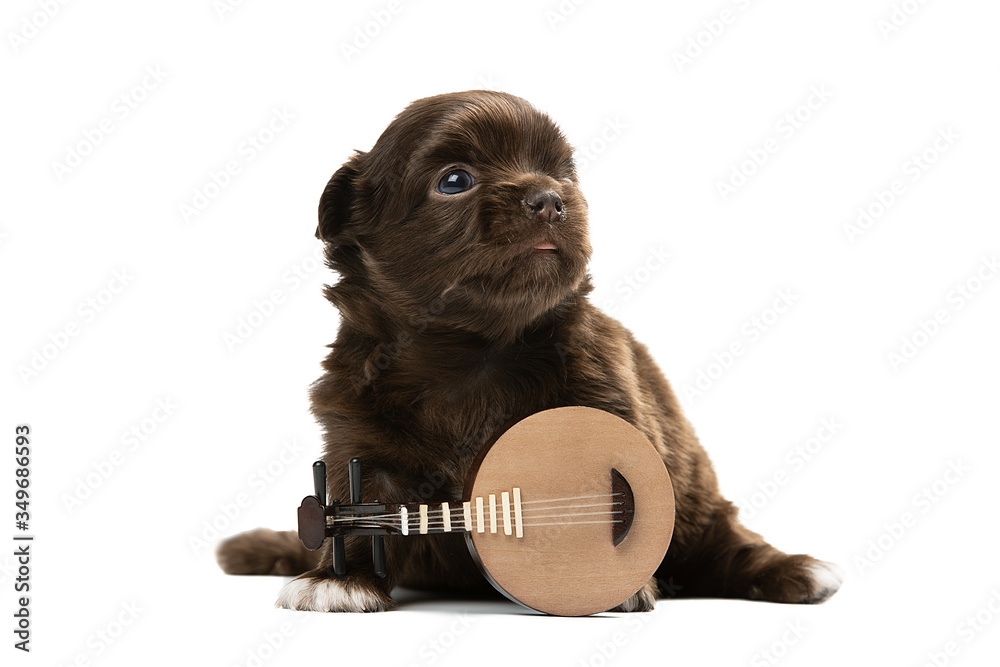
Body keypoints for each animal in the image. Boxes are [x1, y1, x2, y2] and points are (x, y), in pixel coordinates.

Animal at [219, 91, 844, 612]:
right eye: (455, 180)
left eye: (563, 174)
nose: (549, 199)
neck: (472, 348)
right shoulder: (360, 440)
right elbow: (360, 510)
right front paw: (339, 578)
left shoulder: (609, 399)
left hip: (694, 491)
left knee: (723, 537)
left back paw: (796, 570)